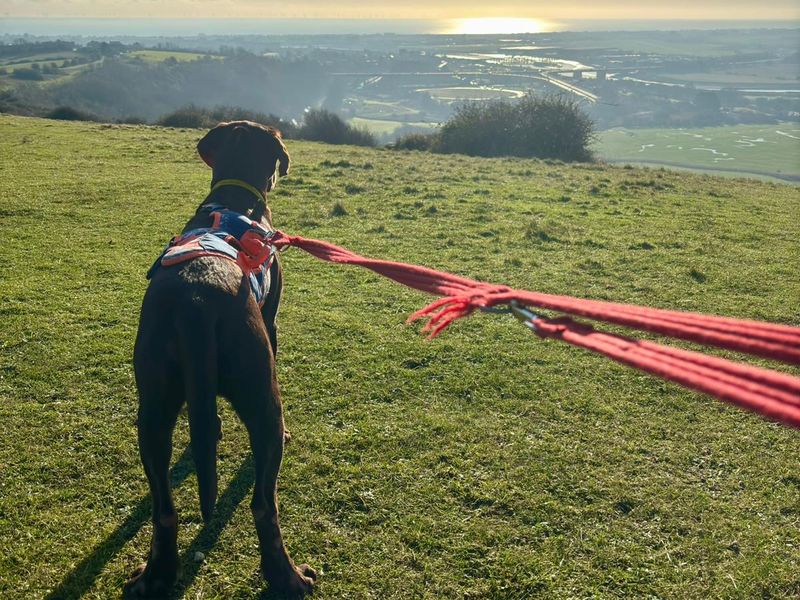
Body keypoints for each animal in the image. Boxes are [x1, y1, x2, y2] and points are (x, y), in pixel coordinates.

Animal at [125, 120, 316, 596]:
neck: (233, 198)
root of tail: (197, 296)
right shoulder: (271, 323)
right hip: (263, 396)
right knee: (265, 504)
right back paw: (288, 576)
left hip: (152, 410)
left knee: (164, 509)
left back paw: (155, 574)